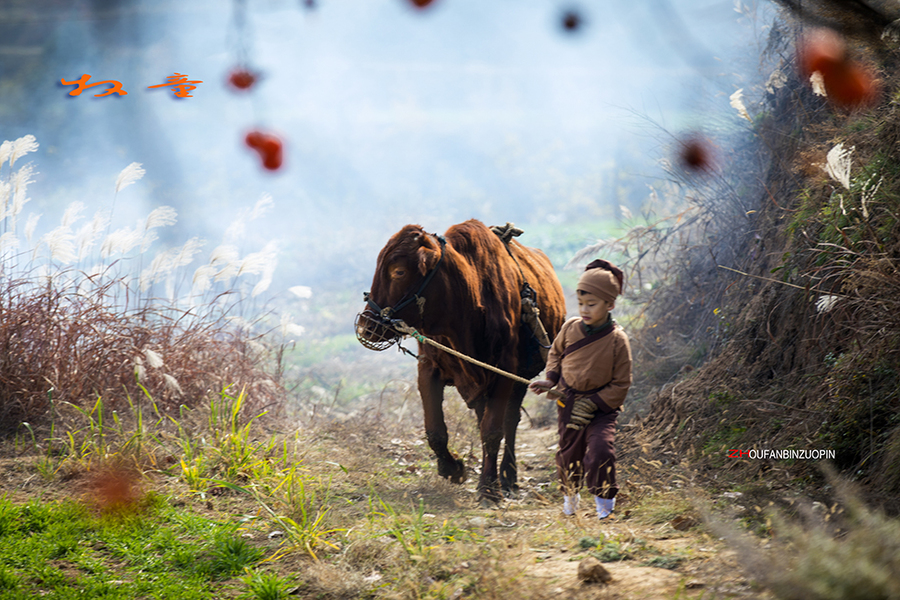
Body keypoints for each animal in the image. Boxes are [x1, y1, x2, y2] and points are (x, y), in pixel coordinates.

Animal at [356, 220, 564, 502]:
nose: (367, 326)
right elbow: (435, 430)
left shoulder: (504, 371)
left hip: (520, 379)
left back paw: (508, 478)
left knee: (509, 422)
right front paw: (452, 469)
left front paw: (488, 487)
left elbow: (492, 430)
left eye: (398, 271)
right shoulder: (428, 367)